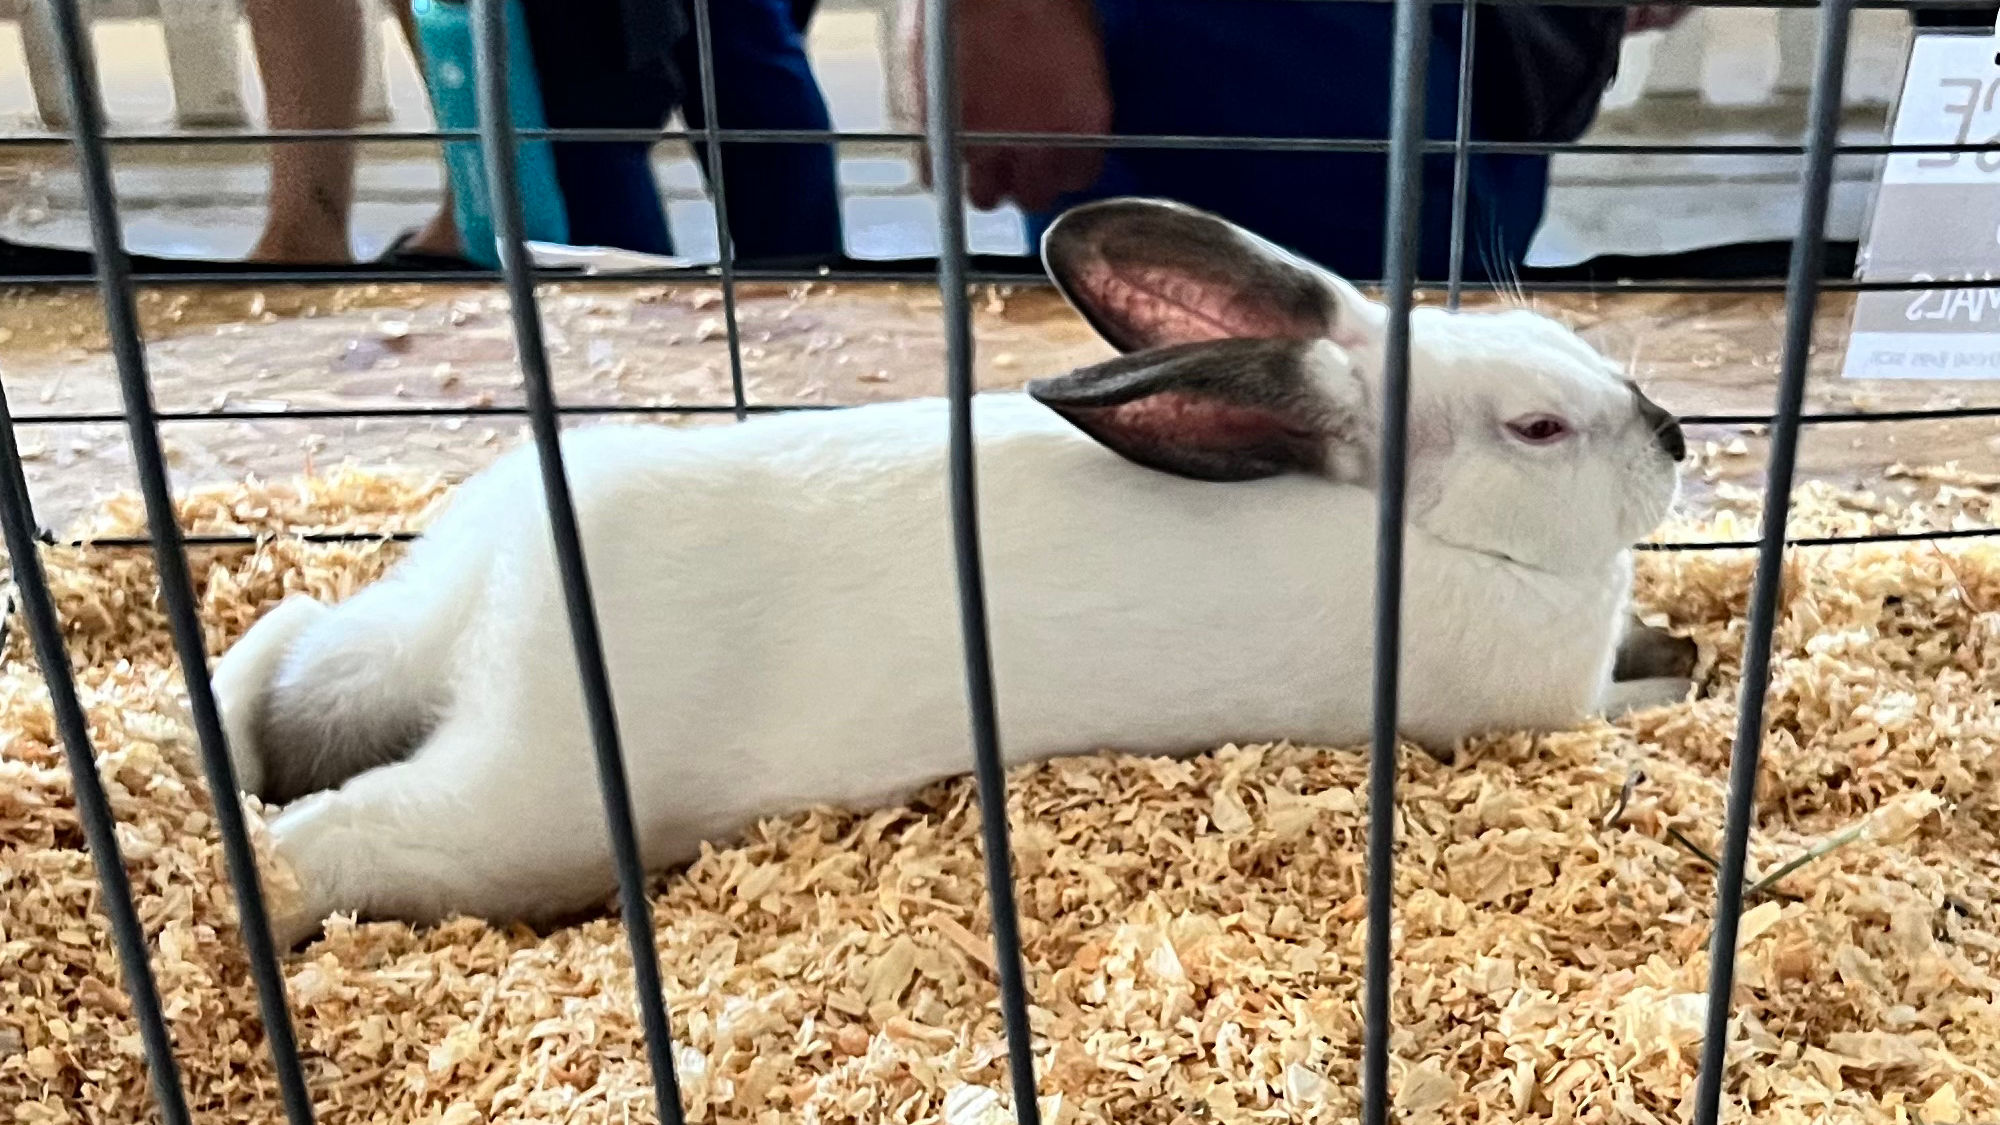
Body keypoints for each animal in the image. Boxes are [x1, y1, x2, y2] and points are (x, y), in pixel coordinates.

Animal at [211, 197, 1688, 940]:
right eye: (1539, 429)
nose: (1674, 438)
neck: (1431, 532)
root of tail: (508, 596)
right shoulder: (1535, 704)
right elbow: (1625, 701)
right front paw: (1680, 673)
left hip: (394, 635)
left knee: (291, 653)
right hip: (528, 806)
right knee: (328, 837)